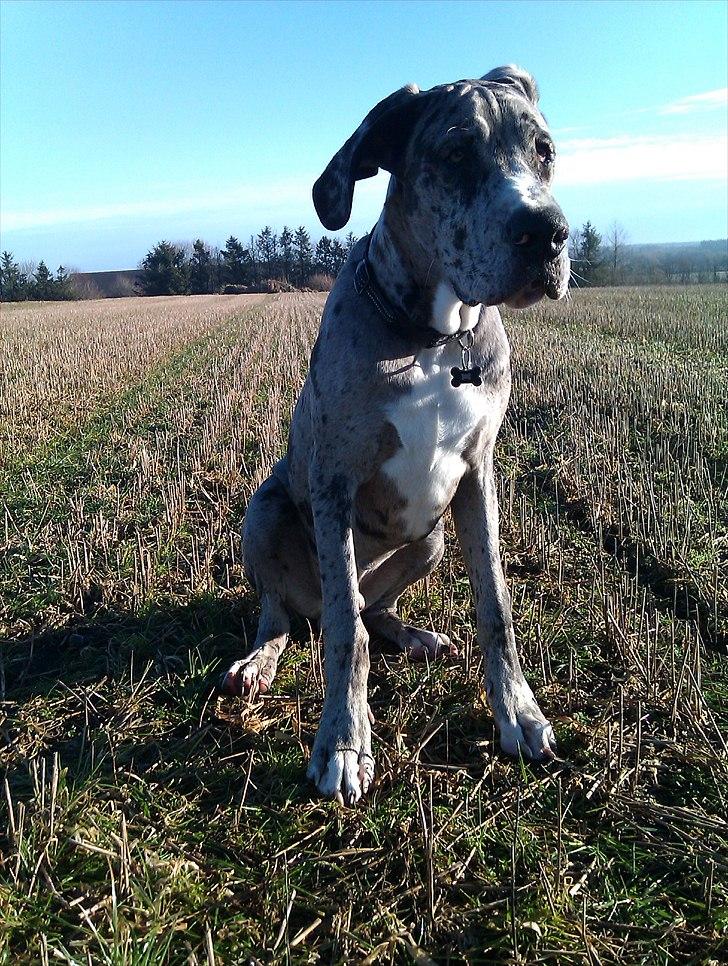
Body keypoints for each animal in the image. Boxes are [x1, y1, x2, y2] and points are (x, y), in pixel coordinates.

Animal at [219, 68, 572, 804]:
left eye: (545, 149)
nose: (548, 234)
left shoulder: (477, 475)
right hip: (264, 512)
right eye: (457, 153)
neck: (433, 338)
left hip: (430, 538)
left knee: (368, 608)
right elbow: (344, 636)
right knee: (292, 613)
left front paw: (518, 713)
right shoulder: (333, 483)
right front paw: (344, 743)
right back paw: (259, 660)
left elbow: (497, 606)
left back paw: (412, 634)